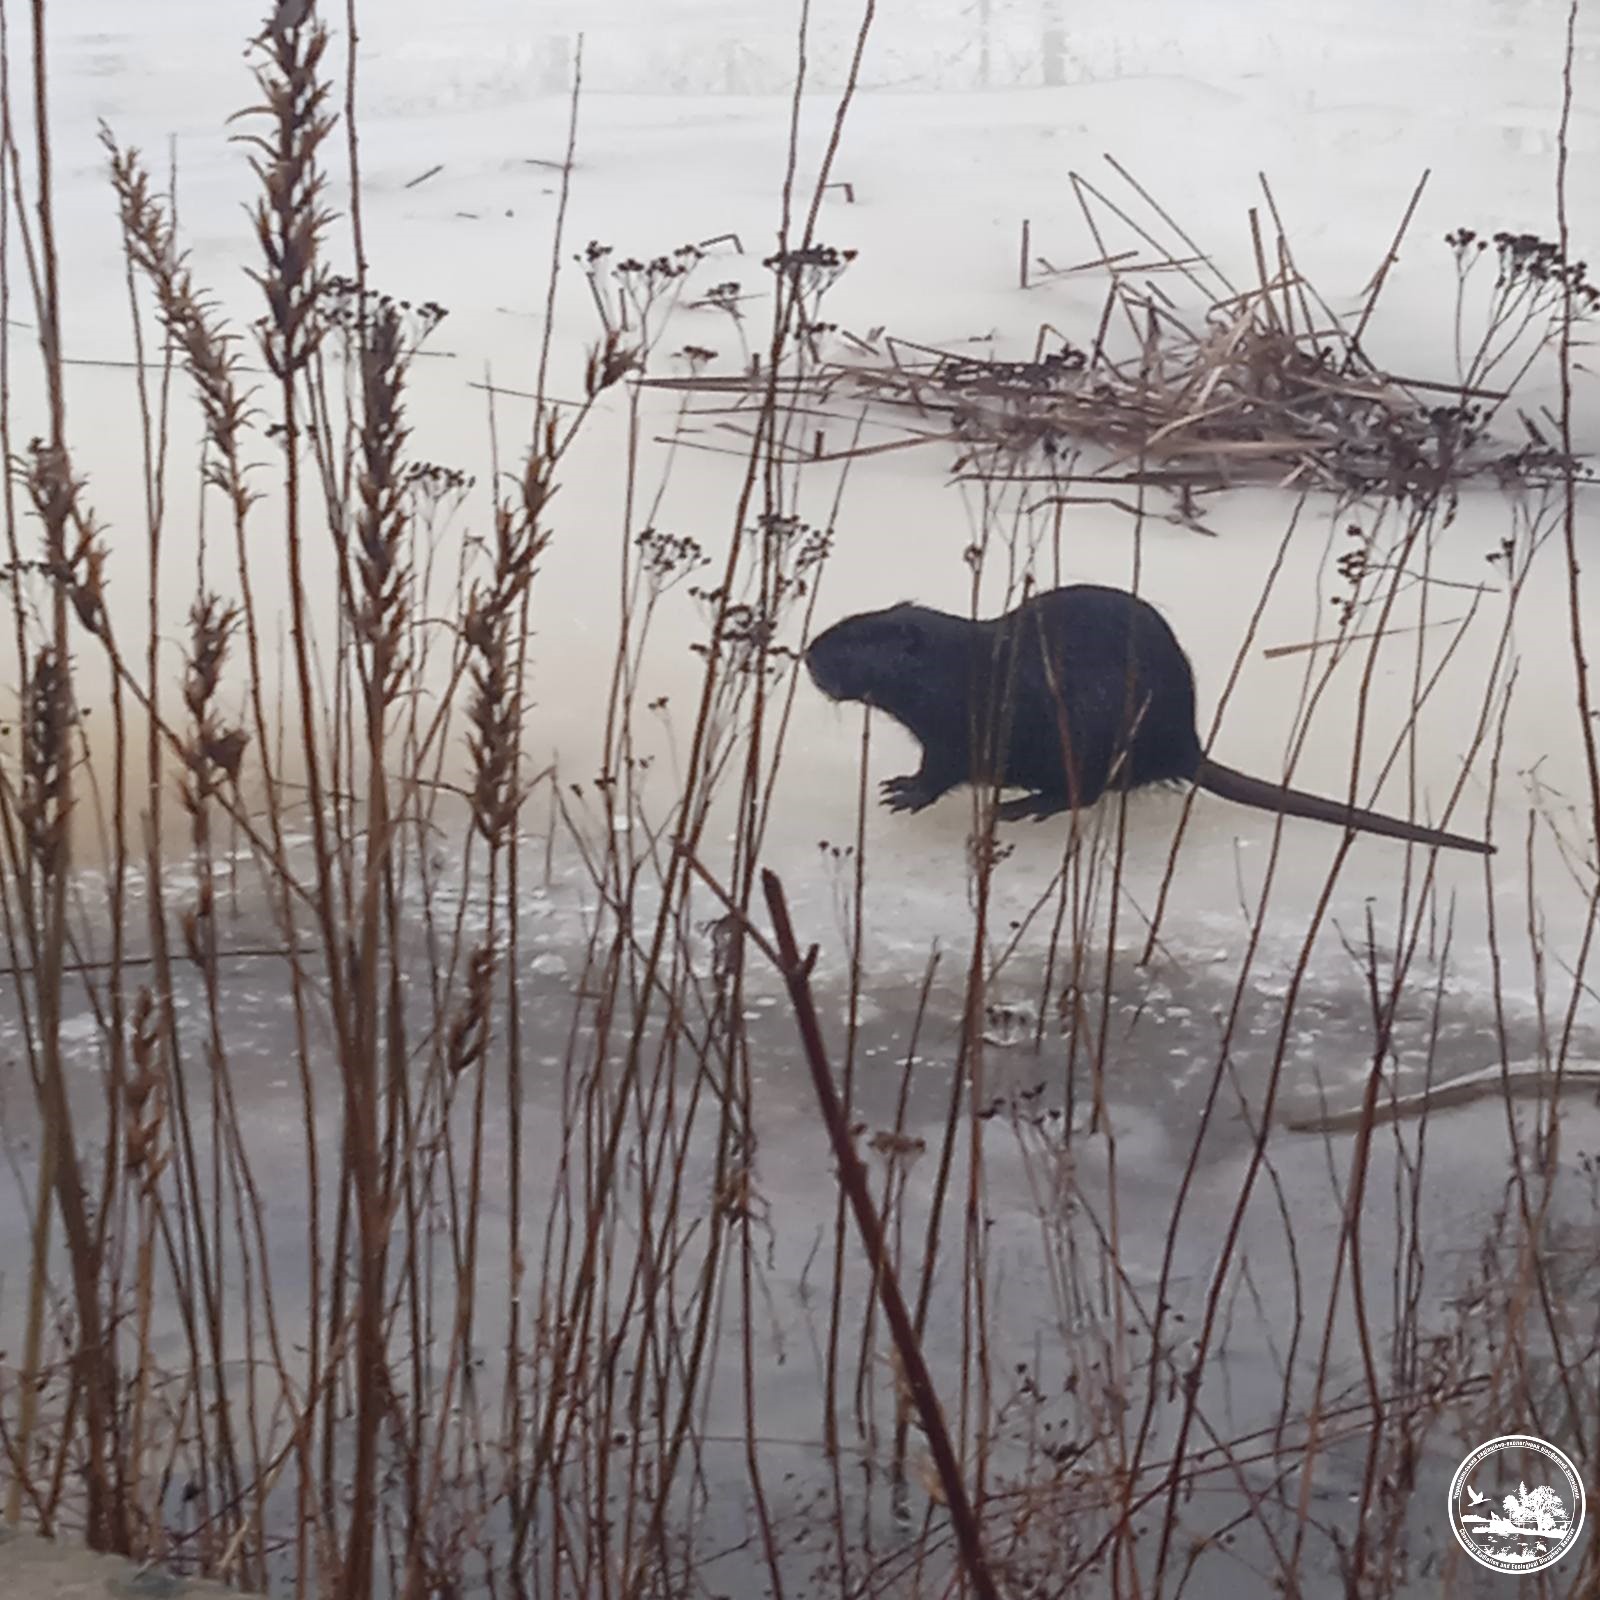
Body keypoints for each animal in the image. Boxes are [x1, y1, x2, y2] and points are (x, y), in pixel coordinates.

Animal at [806, 585, 1491, 857]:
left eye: (857, 639)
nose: (809, 654)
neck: (965, 663)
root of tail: (1187, 749)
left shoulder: (963, 718)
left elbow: (945, 767)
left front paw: (904, 792)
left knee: (1087, 790)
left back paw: (1022, 807)